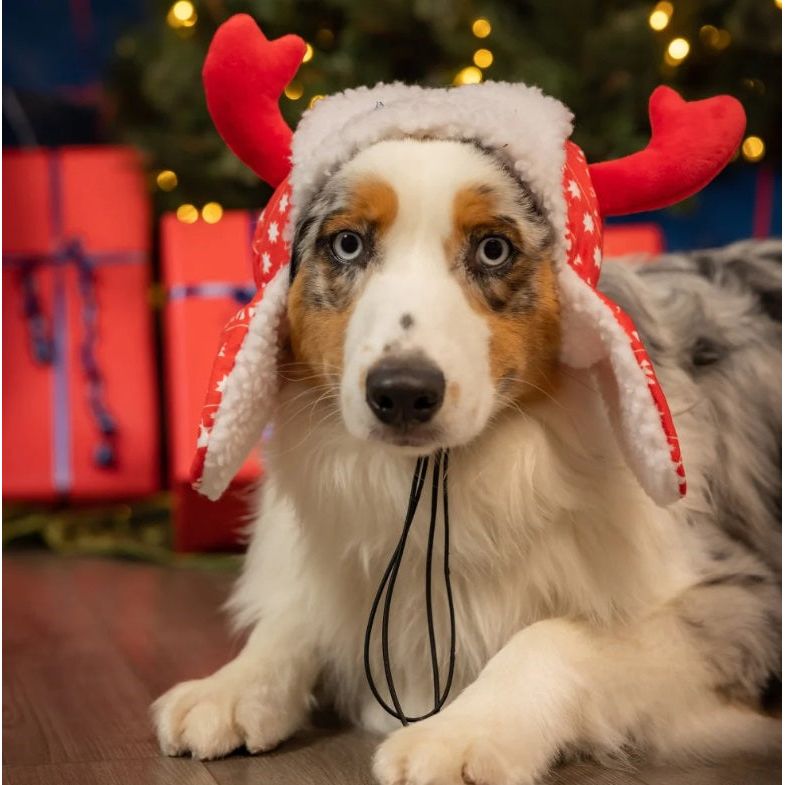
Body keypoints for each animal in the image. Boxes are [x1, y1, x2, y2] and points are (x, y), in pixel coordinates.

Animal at [152, 138, 776, 780]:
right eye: (348, 243)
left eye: (493, 249)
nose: (402, 393)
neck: (436, 484)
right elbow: (293, 618)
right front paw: (229, 686)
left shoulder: (740, 604)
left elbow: (554, 635)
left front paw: (460, 733)